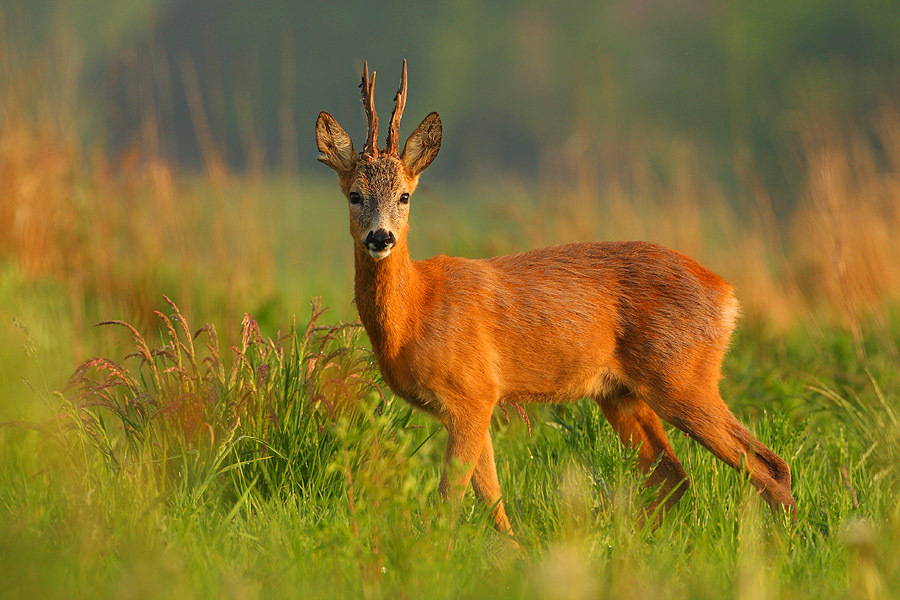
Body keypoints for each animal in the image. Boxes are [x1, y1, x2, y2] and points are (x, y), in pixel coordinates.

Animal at [316, 59, 796, 540]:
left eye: (405, 195)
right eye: (355, 195)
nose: (381, 237)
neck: (416, 308)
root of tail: (727, 294)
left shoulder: (472, 392)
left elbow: (452, 497)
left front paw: (438, 550)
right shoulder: (476, 402)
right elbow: (491, 496)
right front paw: (513, 549)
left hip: (682, 376)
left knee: (767, 465)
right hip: (621, 393)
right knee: (673, 476)